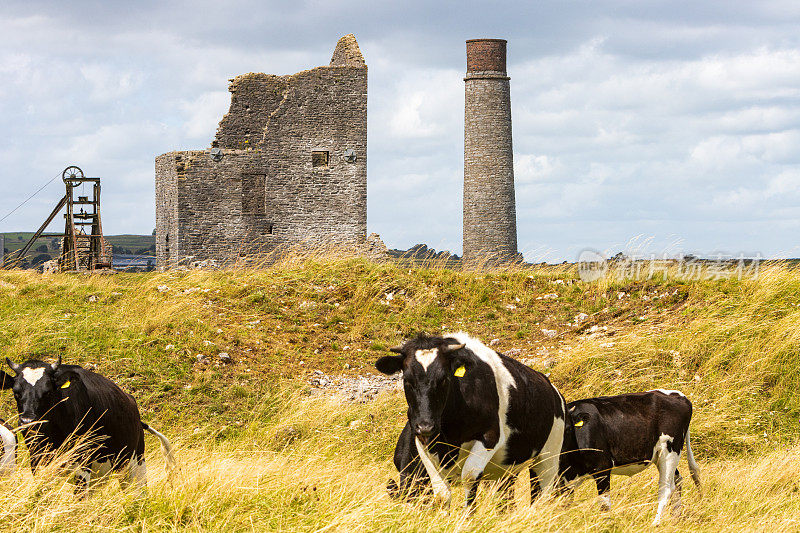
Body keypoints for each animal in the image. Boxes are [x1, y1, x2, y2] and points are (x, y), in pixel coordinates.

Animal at [1, 356, 174, 488]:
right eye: (16, 392)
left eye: (48, 392)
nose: (28, 420)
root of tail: (131, 402)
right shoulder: (38, 460)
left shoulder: (82, 462)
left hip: (135, 463)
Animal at [376, 332, 568, 508]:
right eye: (407, 380)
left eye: (444, 379)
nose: (426, 425)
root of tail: (553, 389)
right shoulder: (421, 441)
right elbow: (441, 493)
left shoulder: (490, 437)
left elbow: (469, 476)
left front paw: (467, 517)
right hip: (508, 467)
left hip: (549, 456)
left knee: (543, 493)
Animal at [560, 388, 704, 524]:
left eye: (567, 428)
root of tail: (677, 394)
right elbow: (564, 503)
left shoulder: (602, 468)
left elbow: (604, 504)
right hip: (661, 455)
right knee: (677, 480)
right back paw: (675, 517)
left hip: (670, 451)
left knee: (666, 488)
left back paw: (656, 523)